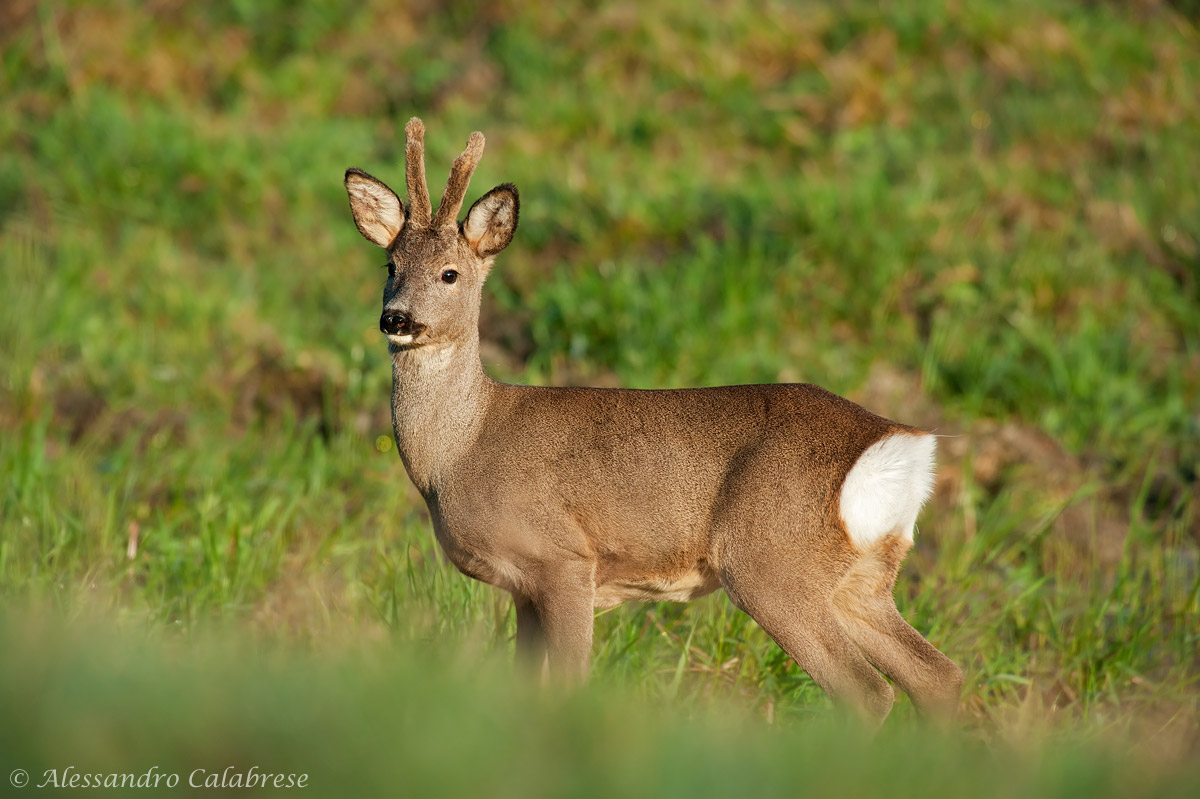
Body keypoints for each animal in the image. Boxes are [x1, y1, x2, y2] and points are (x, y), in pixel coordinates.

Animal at [343, 119, 963, 726]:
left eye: (449, 273)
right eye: (390, 265)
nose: (396, 318)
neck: (460, 452)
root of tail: (900, 444)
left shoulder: (564, 558)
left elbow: (568, 686)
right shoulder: (522, 588)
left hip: (773, 562)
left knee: (869, 691)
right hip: (860, 578)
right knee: (937, 674)